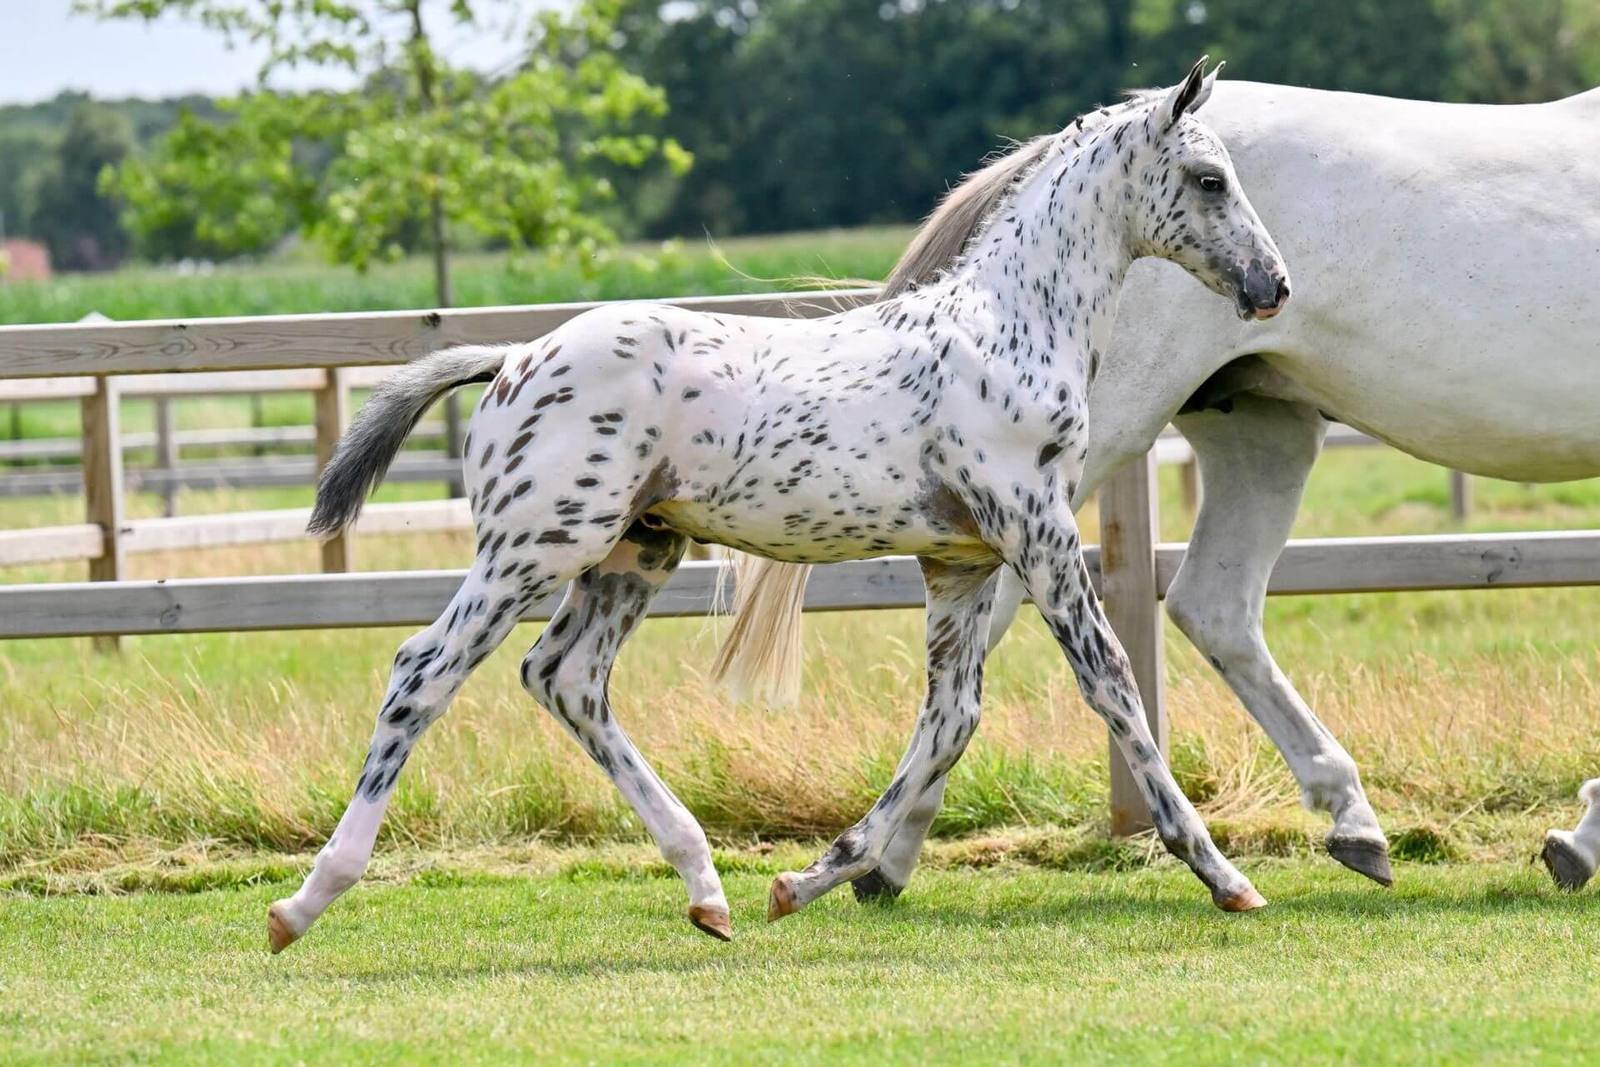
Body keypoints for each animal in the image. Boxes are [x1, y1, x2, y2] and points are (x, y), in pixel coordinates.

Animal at [264, 59, 1290, 952]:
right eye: (1208, 179)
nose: (1272, 285)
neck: (1007, 328)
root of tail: (512, 359)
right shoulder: (1036, 533)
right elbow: (1111, 684)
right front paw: (1224, 875)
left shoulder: (960, 564)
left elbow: (949, 721)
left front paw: (805, 880)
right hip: (536, 546)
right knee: (422, 672)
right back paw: (303, 902)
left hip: (633, 553)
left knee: (566, 678)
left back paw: (706, 888)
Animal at [717, 77, 1600, 900]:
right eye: (1210, 182)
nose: (1273, 282)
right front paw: (1579, 840)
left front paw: (1576, 842)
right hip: (1075, 462)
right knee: (996, 641)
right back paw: (884, 857)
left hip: (1261, 433)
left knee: (1207, 609)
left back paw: (1353, 822)